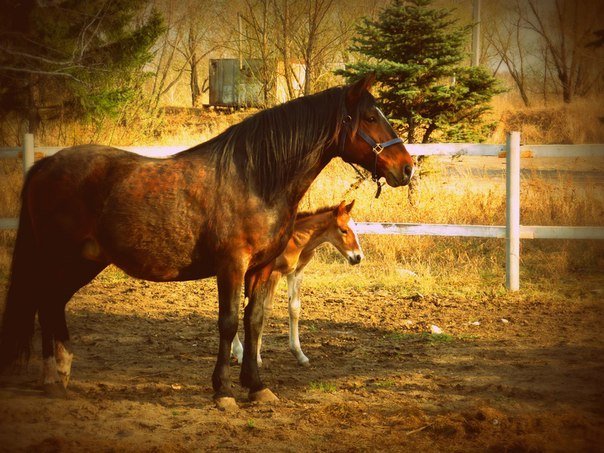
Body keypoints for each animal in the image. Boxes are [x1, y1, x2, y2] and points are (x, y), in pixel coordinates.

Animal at [231, 201, 364, 368]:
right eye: (344, 230)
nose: (358, 257)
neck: (295, 242)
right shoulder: (273, 273)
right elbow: (265, 309)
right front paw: (256, 357)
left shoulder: (296, 272)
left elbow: (294, 308)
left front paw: (299, 354)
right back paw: (238, 351)